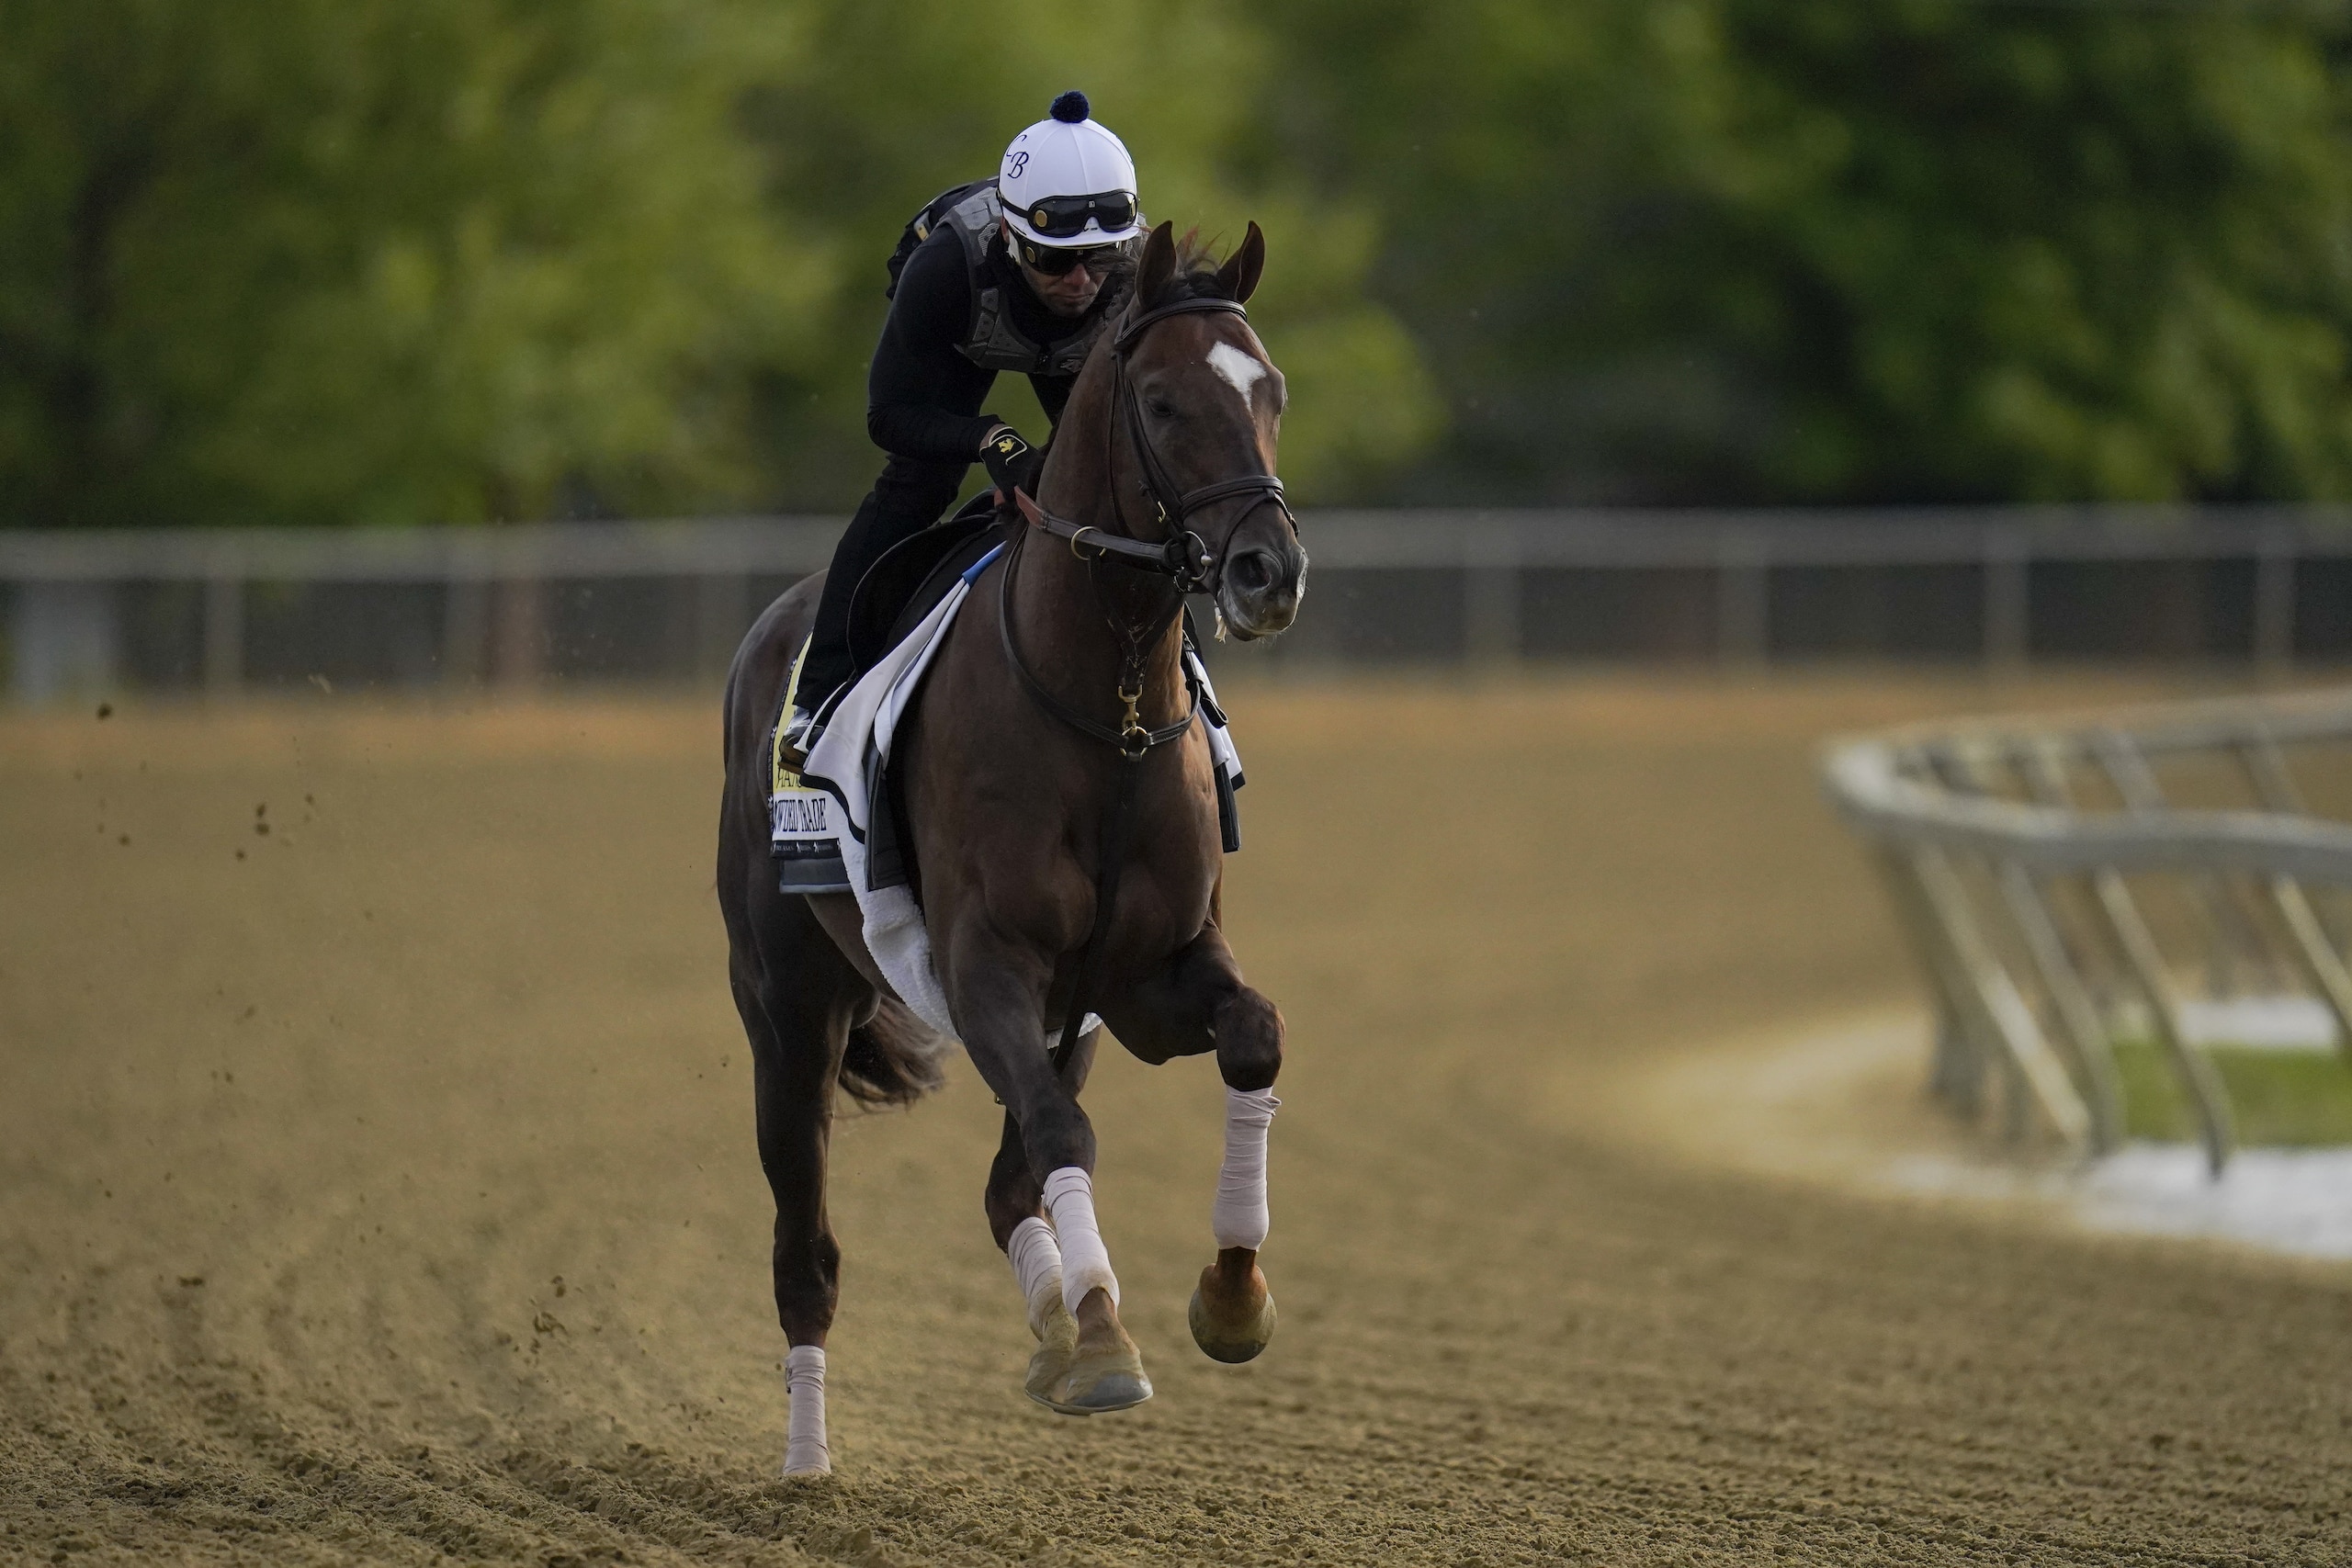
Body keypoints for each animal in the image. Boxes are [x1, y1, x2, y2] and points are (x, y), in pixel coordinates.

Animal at [715, 220, 1308, 1475]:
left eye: (1270, 389)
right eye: (1163, 401)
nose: (1268, 572)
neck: (1102, 710)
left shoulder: (1141, 976)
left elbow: (1253, 1037)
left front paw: (1228, 1299)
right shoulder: (984, 962)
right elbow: (1059, 1129)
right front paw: (1104, 1343)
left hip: (1064, 1019)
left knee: (1003, 1191)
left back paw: (1050, 1323)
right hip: (786, 1010)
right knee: (806, 1251)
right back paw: (807, 1458)